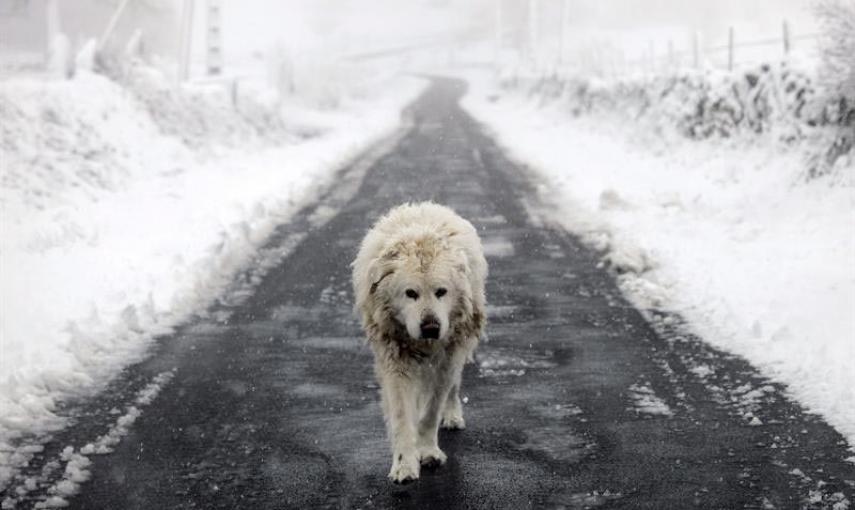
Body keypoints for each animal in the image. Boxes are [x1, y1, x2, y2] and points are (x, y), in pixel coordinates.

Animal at [352, 200, 488, 482]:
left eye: (441, 292)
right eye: (410, 293)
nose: (431, 328)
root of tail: (424, 206)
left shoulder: (448, 357)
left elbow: (432, 409)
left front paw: (427, 451)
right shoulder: (396, 359)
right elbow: (402, 414)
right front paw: (404, 463)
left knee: (453, 387)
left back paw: (452, 415)